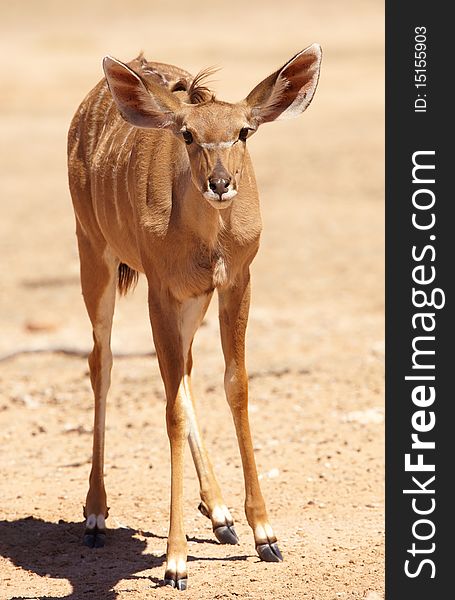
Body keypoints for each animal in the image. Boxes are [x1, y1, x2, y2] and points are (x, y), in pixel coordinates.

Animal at [67, 44, 322, 588]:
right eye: (186, 134)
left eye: (244, 130)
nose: (219, 184)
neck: (209, 240)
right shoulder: (160, 289)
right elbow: (171, 409)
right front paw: (175, 561)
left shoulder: (235, 281)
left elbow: (234, 385)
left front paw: (264, 534)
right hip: (93, 252)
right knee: (103, 362)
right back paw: (96, 514)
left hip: (191, 299)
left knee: (181, 371)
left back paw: (220, 514)